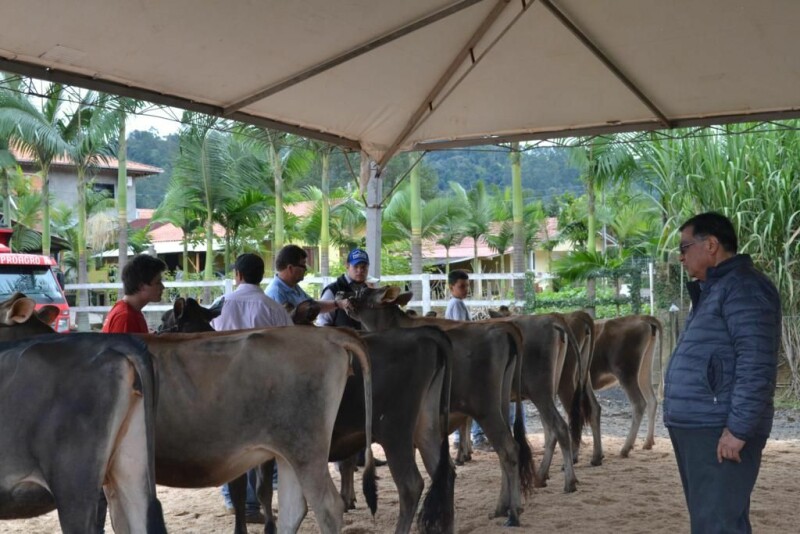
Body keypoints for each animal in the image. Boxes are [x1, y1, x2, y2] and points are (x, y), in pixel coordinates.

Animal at [161, 300, 456, 534]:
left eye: (165, 323)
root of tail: (424, 334)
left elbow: (247, 492)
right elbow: (264, 490)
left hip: (394, 430)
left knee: (411, 485)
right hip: (426, 427)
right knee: (445, 474)